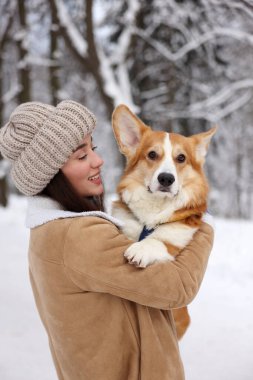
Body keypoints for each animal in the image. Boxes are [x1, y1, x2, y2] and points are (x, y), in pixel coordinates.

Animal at [111, 105, 216, 340]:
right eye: (152, 154)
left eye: (181, 158)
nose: (166, 179)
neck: (154, 210)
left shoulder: (176, 241)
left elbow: (157, 240)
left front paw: (140, 249)